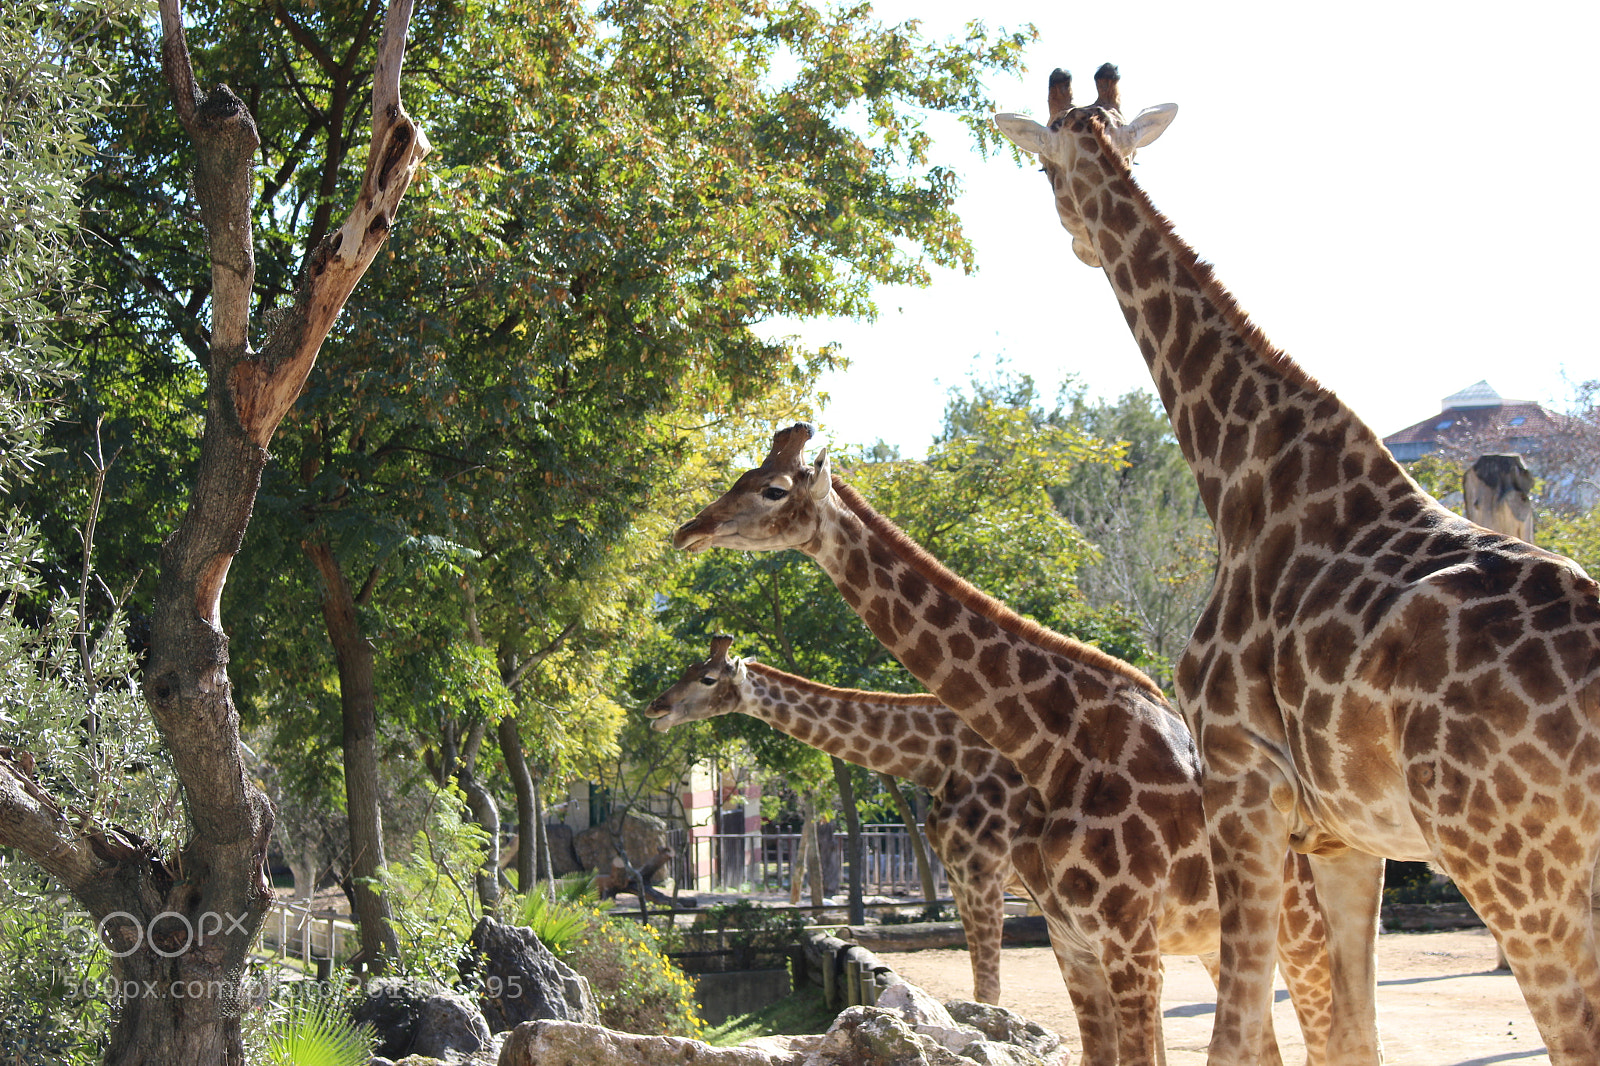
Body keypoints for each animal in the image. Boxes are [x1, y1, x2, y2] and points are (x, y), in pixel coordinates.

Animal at [671, 427, 1333, 1066]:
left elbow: (989, 996)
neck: (1054, 747)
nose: (689, 530)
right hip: (1216, 939)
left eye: (773, 489)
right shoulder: (1071, 937)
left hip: (1302, 930)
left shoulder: (1090, 923)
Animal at [993, 64, 1600, 1066]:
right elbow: (1352, 1033)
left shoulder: (1242, 782)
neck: (1237, 473)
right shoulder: (1348, 835)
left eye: (1044, 168)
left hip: (1511, 856)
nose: (1078, 239)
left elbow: (1236, 1035)